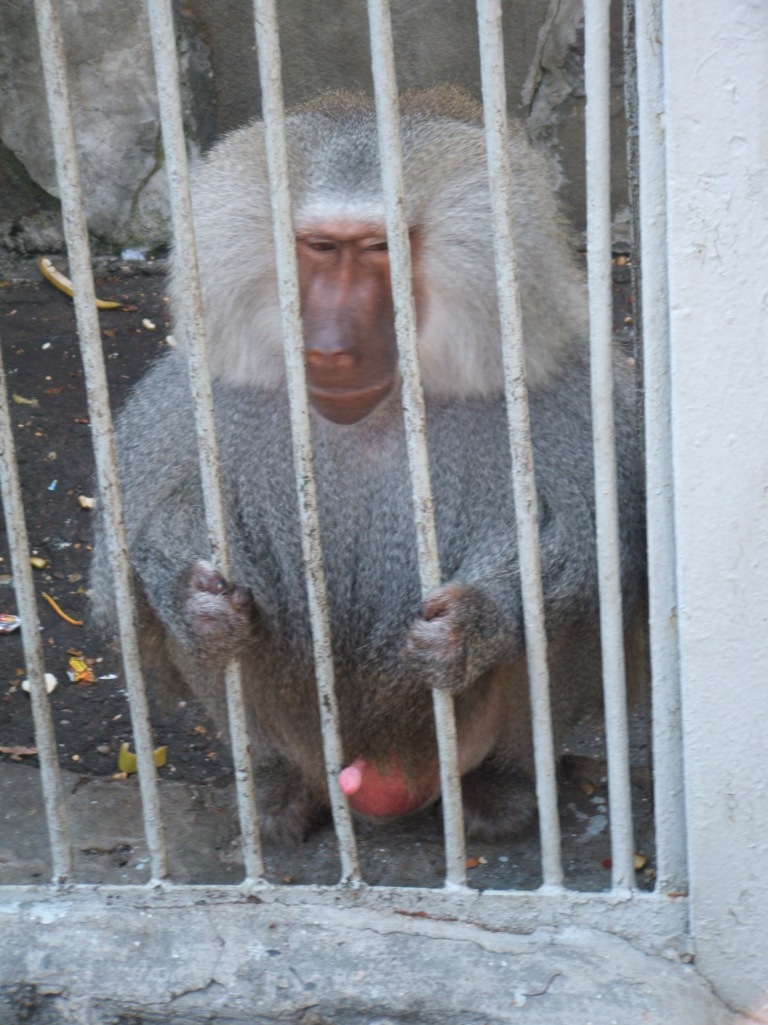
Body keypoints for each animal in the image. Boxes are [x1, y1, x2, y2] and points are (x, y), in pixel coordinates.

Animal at [90, 86, 646, 844]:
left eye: (380, 249)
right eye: (321, 248)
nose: (329, 348)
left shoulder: (572, 401)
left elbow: (600, 562)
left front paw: (468, 625)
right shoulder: (186, 403)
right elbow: (127, 578)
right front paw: (196, 600)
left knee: (575, 617)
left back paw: (502, 792)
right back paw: (278, 793)